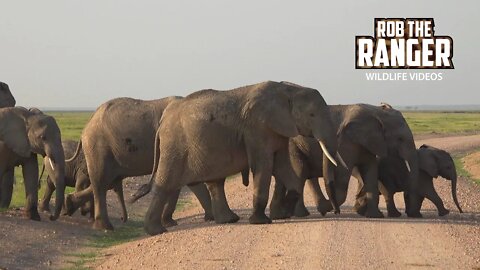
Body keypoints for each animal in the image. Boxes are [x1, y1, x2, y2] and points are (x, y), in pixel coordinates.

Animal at [64, 96, 215, 230]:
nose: (122, 219)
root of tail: (86, 127)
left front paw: (171, 223)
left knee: (107, 181)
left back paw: (69, 204)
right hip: (98, 147)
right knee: (101, 182)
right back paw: (105, 227)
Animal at [143, 81, 342, 235]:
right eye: (312, 115)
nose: (335, 212)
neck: (288, 90)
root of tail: (162, 123)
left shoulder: (278, 129)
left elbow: (283, 166)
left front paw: (282, 211)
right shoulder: (257, 128)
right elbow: (264, 166)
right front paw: (262, 221)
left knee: (215, 182)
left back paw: (229, 220)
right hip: (174, 146)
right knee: (165, 183)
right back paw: (156, 231)